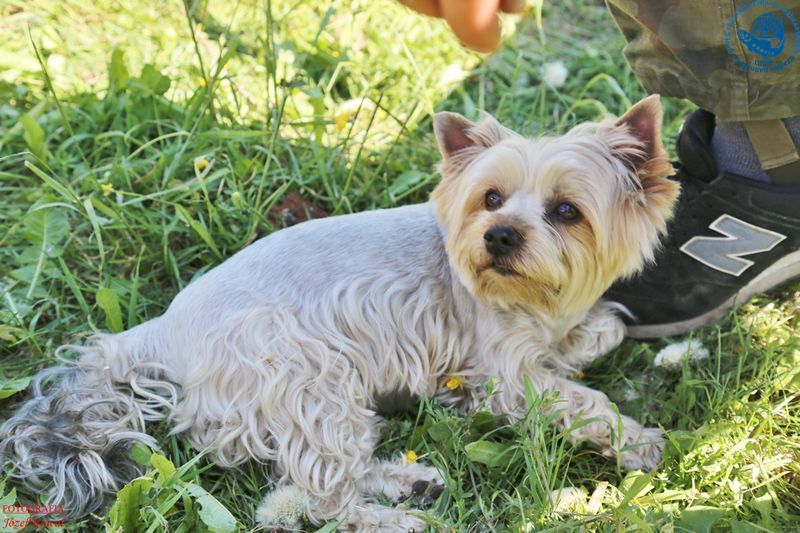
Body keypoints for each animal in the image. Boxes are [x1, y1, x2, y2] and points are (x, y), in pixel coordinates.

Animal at [0, 95, 679, 531]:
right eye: (490, 198)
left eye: (567, 211)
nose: (500, 236)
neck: (532, 297)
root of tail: (162, 332)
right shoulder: (504, 375)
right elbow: (580, 398)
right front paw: (639, 441)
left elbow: (606, 328)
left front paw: (585, 335)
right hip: (309, 378)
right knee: (321, 498)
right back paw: (398, 518)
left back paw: (409, 481)